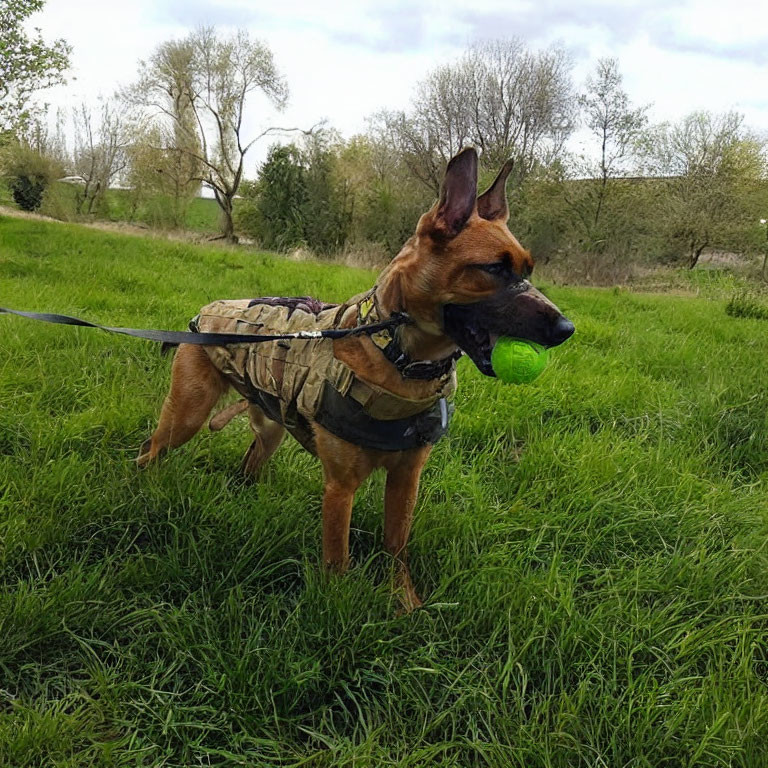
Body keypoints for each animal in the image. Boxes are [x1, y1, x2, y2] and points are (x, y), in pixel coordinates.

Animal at [136, 144, 568, 612]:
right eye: (494, 269)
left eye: (527, 270)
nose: (567, 329)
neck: (396, 353)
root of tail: (203, 314)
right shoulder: (340, 487)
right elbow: (337, 558)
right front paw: (337, 606)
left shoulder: (406, 479)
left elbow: (396, 545)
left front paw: (404, 602)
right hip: (188, 414)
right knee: (151, 450)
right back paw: (145, 489)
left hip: (269, 428)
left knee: (248, 464)